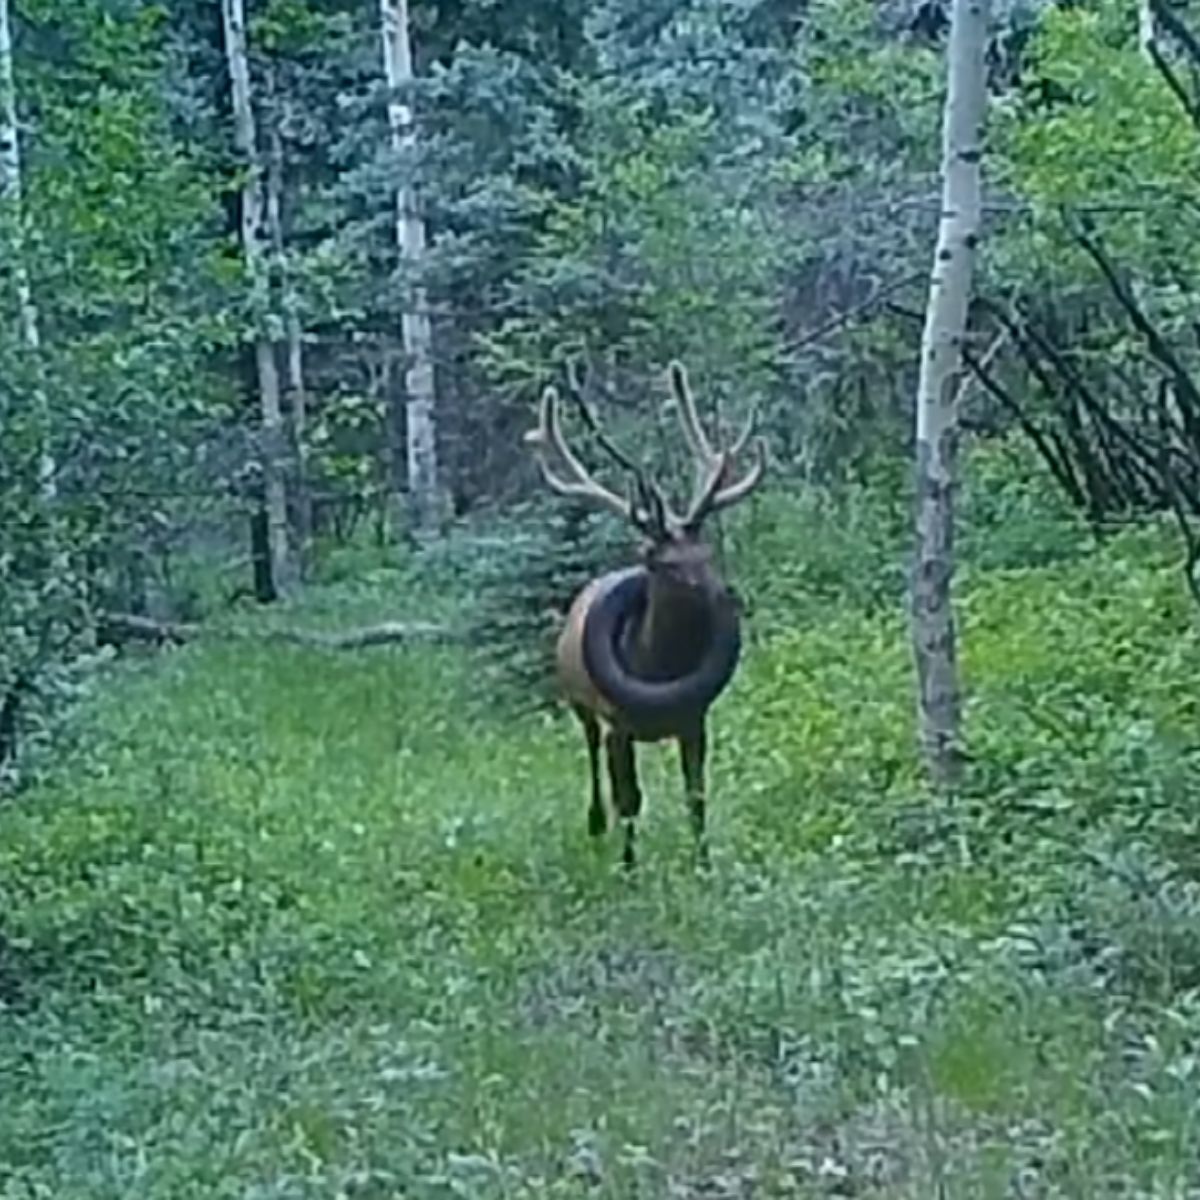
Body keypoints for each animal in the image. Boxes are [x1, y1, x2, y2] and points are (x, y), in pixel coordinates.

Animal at [520, 360, 763, 868]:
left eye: (706, 553)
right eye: (665, 564)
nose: (724, 595)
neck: (657, 664)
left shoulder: (695, 719)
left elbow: (696, 796)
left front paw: (704, 865)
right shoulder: (619, 725)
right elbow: (628, 800)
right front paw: (629, 867)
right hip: (581, 703)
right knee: (593, 761)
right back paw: (596, 825)